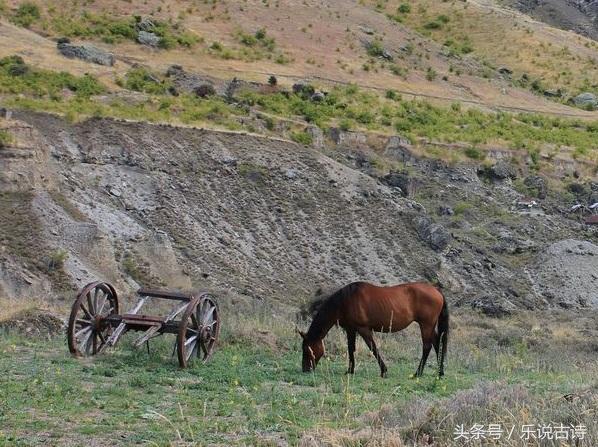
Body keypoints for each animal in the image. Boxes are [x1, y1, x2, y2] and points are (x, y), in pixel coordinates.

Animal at [300, 284, 450, 378]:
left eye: (307, 349)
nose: (305, 369)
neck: (345, 301)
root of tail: (436, 290)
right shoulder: (351, 329)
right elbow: (351, 349)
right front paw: (350, 370)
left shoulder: (363, 329)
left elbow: (373, 348)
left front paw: (384, 371)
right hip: (429, 326)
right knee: (437, 343)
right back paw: (440, 372)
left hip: (426, 325)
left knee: (427, 346)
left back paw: (418, 373)